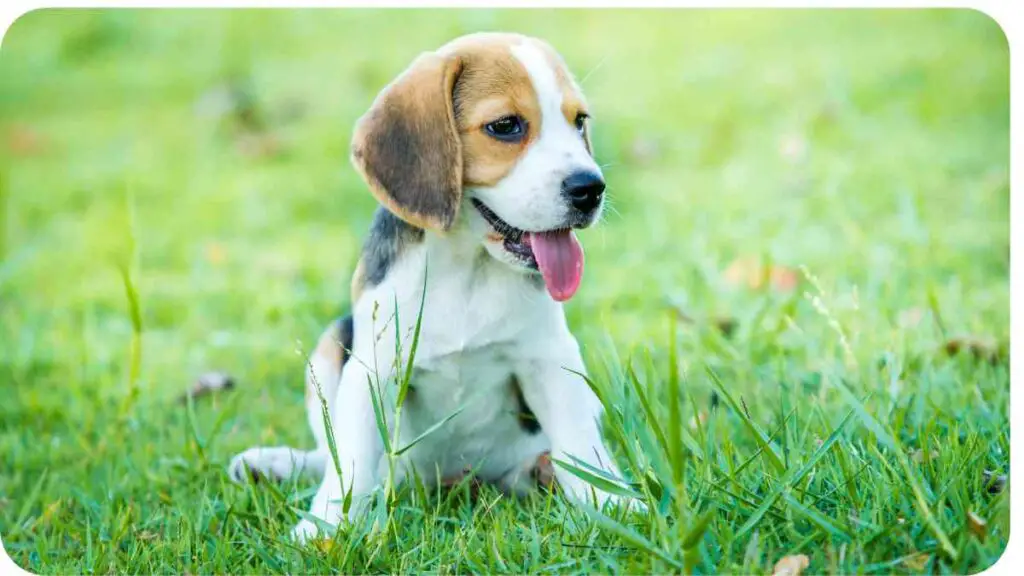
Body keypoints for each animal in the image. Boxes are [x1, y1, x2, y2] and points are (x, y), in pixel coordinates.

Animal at [228, 33, 634, 541]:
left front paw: (615, 504)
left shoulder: (550, 357)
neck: (467, 267)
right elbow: (351, 463)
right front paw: (327, 526)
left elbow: (580, 443)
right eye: (505, 126)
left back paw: (538, 473)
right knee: (333, 457)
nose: (590, 189)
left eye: (579, 121)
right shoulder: (372, 367)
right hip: (329, 346)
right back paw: (273, 464)